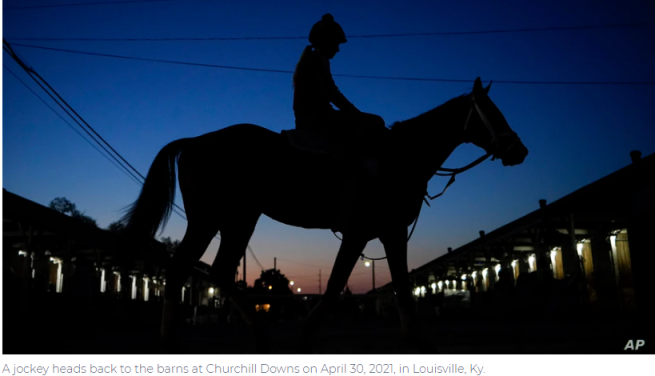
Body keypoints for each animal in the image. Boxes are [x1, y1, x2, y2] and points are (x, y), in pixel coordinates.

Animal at [121, 76, 528, 352]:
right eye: (492, 113)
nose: (519, 150)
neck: (399, 158)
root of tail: (195, 142)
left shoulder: (391, 232)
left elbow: (400, 287)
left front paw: (417, 342)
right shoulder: (363, 233)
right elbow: (335, 289)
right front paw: (304, 338)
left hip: (232, 220)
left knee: (214, 271)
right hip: (218, 219)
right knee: (188, 270)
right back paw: (182, 340)